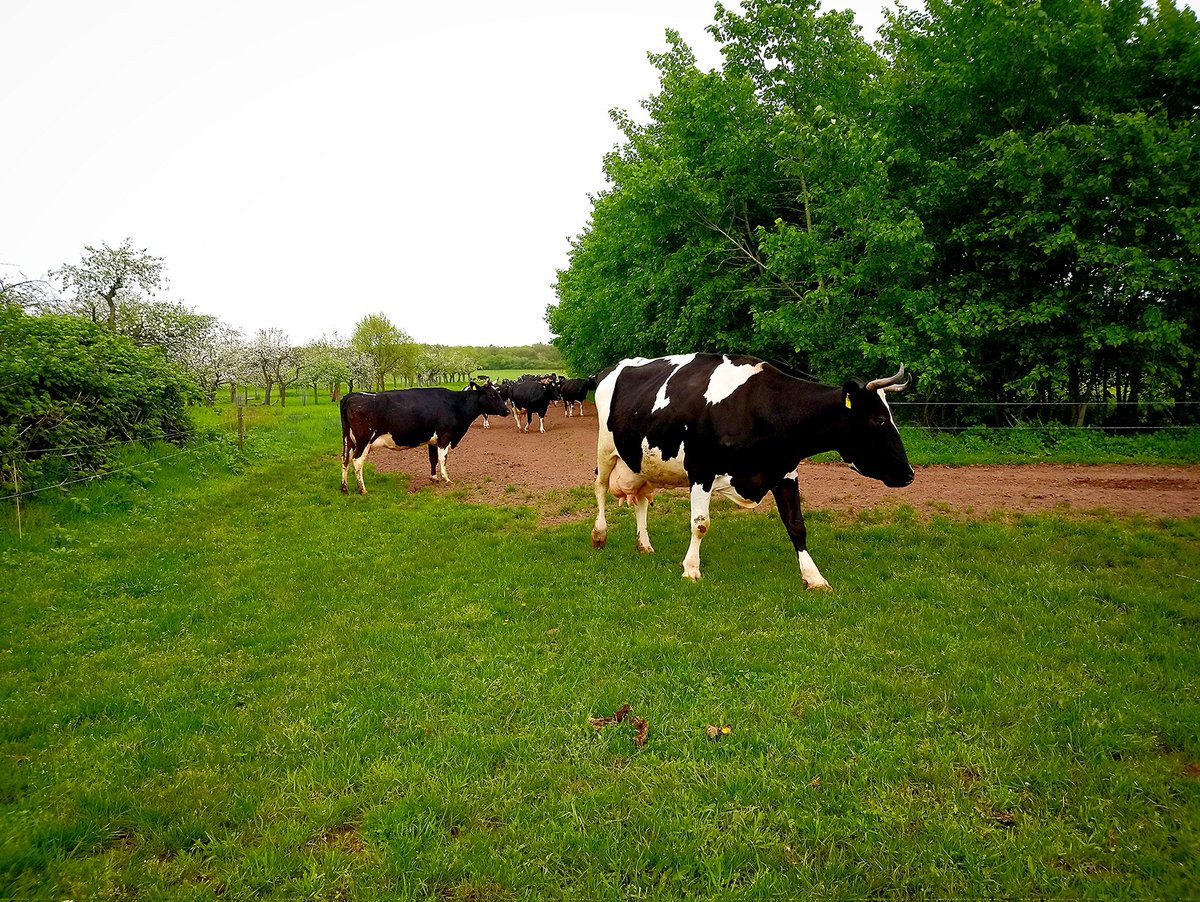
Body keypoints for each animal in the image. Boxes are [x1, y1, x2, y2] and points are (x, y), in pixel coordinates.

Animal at [340, 379, 508, 494]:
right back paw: (362, 489)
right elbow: (443, 458)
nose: (506, 411)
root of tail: (351, 395)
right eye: (492, 395)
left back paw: (344, 487)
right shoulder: (444, 436)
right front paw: (446, 479)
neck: (455, 404)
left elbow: (432, 458)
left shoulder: (433, 440)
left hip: (349, 441)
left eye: (499, 393)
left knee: (345, 459)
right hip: (364, 441)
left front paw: (434, 478)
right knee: (357, 461)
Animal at [595, 352, 912, 585]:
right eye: (880, 420)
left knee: (641, 500)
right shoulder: (700, 470)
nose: (909, 474)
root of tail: (612, 368)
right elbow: (700, 524)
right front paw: (691, 569)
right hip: (605, 449)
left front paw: (813, 577)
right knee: (600, 488)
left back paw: (644, 545)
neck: (757, 406)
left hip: (642, 464)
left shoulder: (785, 471)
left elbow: (797, 525)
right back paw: (599, 535)